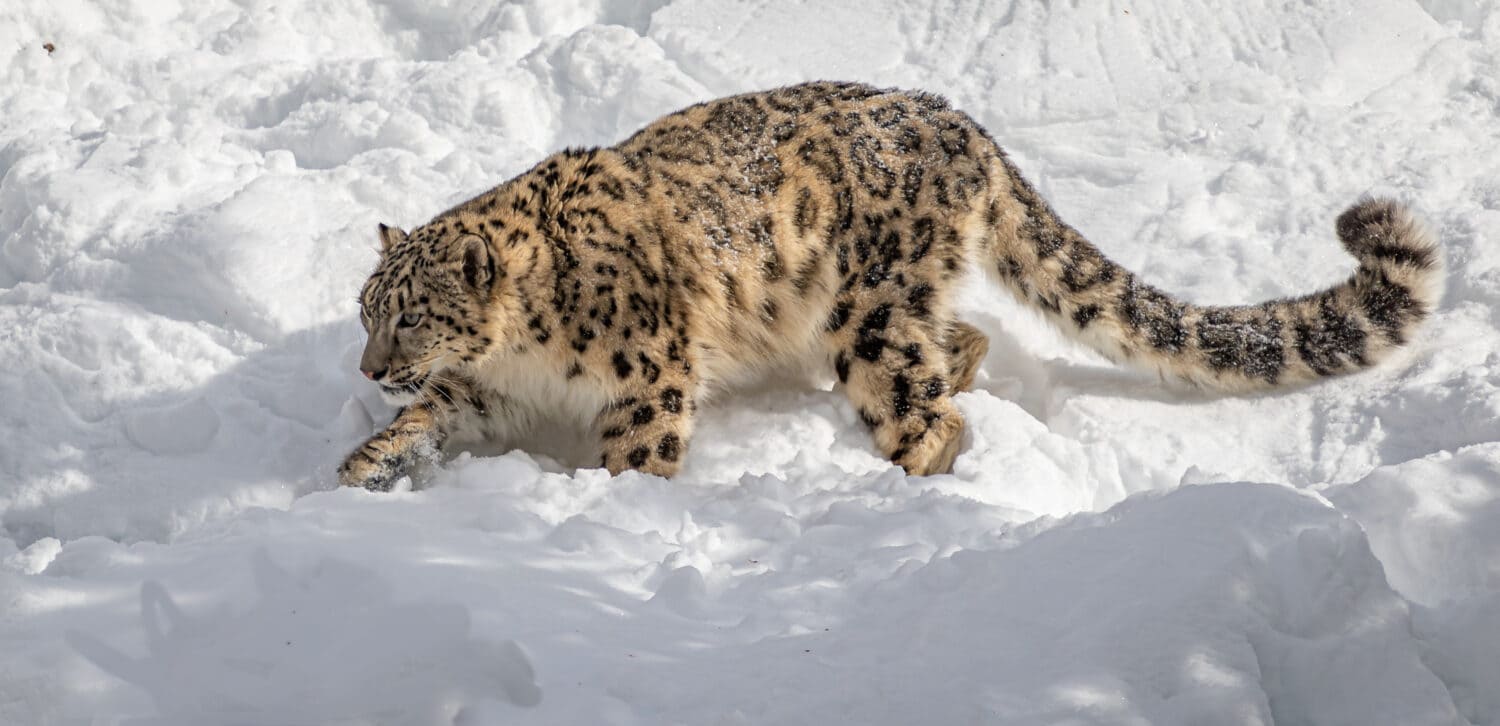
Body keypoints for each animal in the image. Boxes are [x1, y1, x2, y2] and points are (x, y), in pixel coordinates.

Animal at [337, 82, 1440, 492]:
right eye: (366, 313)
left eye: (413, 315)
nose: (372, 369)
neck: (523, 351)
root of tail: (965, 125)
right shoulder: (483, 391)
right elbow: (431, 417)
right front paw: (363, 466)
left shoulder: (646, 378)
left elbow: (637, 454)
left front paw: (607, 506)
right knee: (961, 344)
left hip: (864, 313)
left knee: (921, 406)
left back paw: (915, 472)